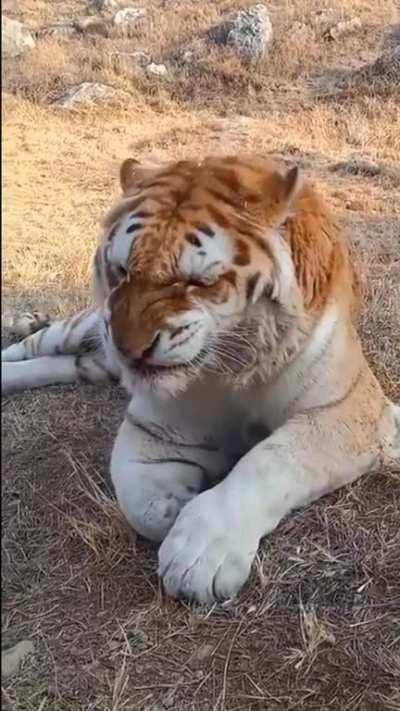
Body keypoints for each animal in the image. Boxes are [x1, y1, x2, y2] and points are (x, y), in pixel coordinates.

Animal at [2, 154, 399, 605]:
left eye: (196, 282)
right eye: (121, 271)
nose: (127, 349)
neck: (236, 366)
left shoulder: (346, 411)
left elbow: (270, 459)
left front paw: (200, 554)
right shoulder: (157, 425)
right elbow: (138, 500)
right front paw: (173, 508)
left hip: (92, 360)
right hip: (83, 327)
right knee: (32, 347)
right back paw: (23, 330)